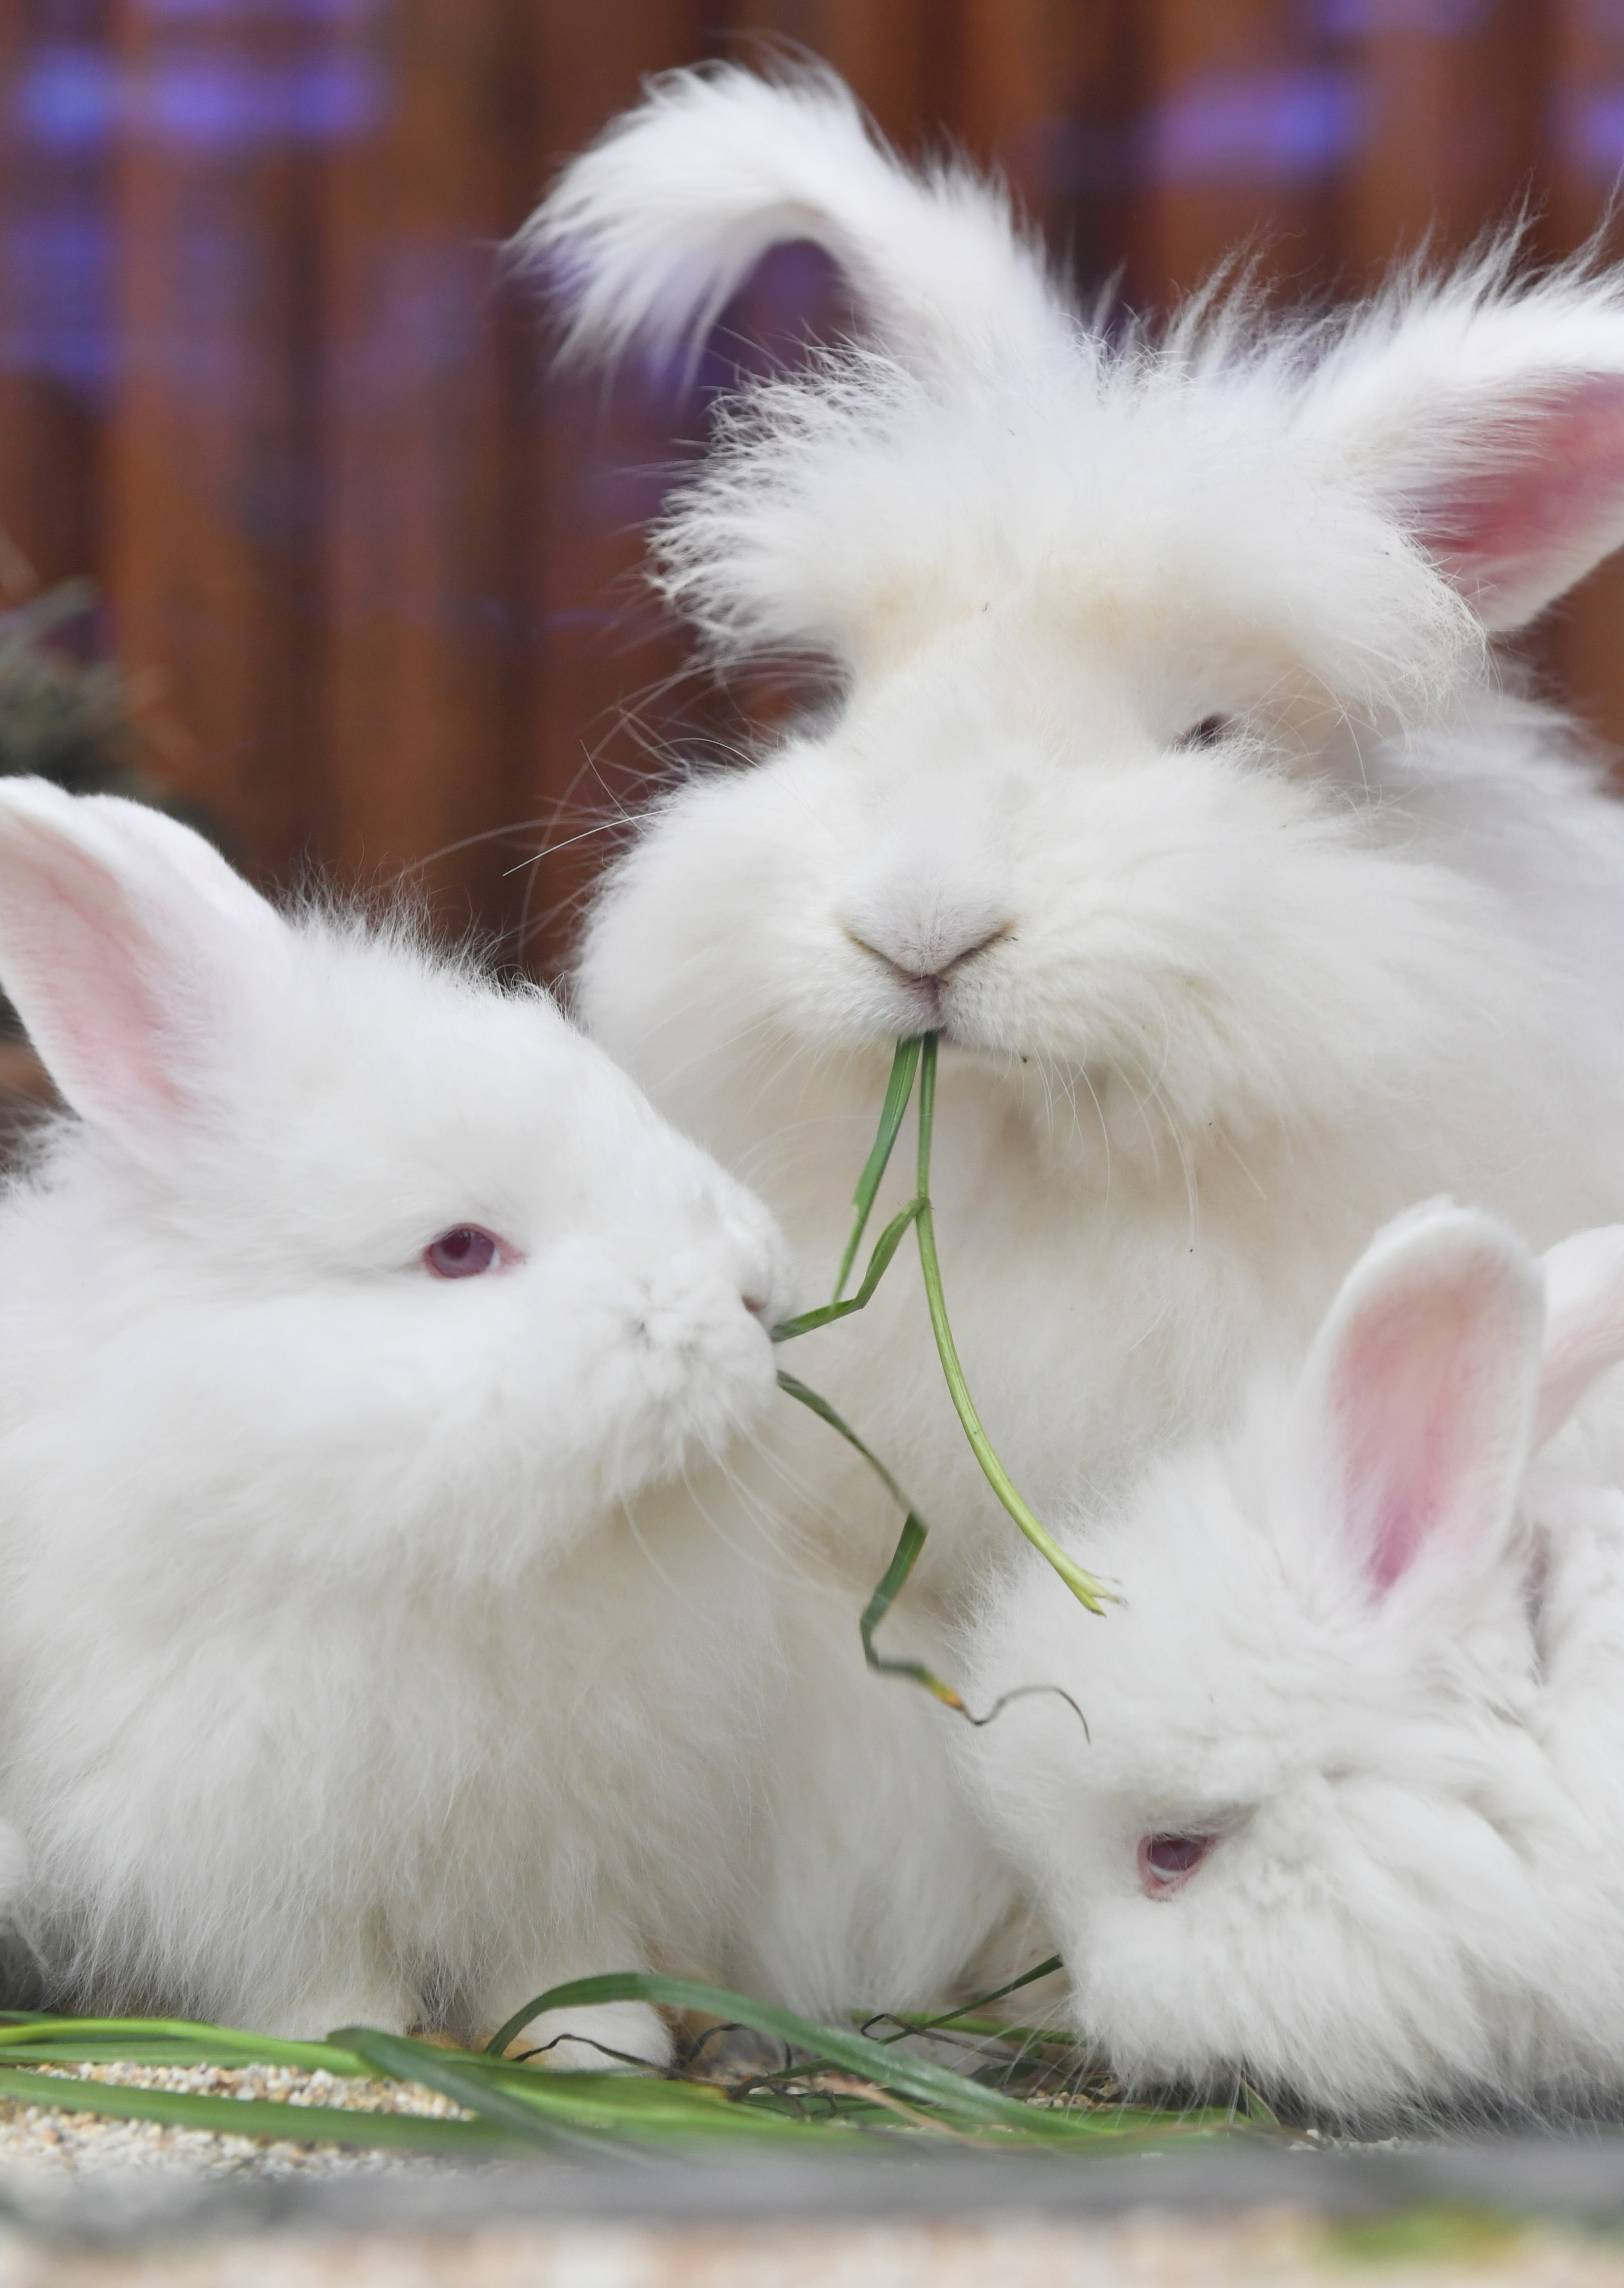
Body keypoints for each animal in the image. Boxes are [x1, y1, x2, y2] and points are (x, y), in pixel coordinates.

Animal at [0, 778, 800, 2068]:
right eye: (459, 1250)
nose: (754, 1291)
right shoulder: (236, 1840)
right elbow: (305, 1967)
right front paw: (348, 2035)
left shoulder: (565, 1839)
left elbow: (562, 1957)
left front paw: (603, 2043)